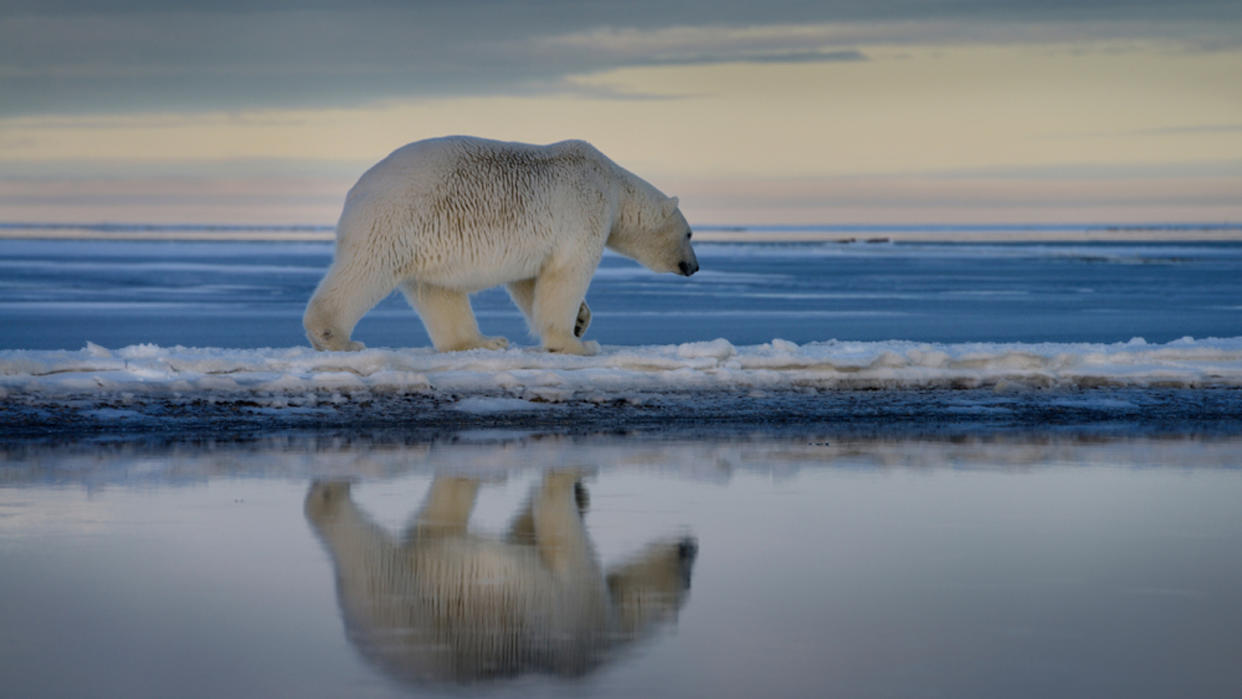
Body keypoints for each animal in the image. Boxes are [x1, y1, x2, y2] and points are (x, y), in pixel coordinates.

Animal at [295, 135, 695, 355]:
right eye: (690, 234)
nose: (694, 266)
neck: (613, 183)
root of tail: (355, 192)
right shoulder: (584, 209)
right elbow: (566, 274)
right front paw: (576, 343)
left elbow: (530, 282)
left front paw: (581, 321)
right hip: (397, 221)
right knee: (364, 272)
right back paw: (336, 338)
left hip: (426, 240)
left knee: (437, 291)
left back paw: (483, 341)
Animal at [304, 476, 700, 685]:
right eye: (687, 578)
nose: (692, 547)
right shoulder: (581, 620)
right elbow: (563, 538)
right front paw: (568, 486)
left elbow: (528, 539)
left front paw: (580, 494)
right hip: (402, 606)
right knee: (369, 553)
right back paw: (330, 493)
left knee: (435, 525)